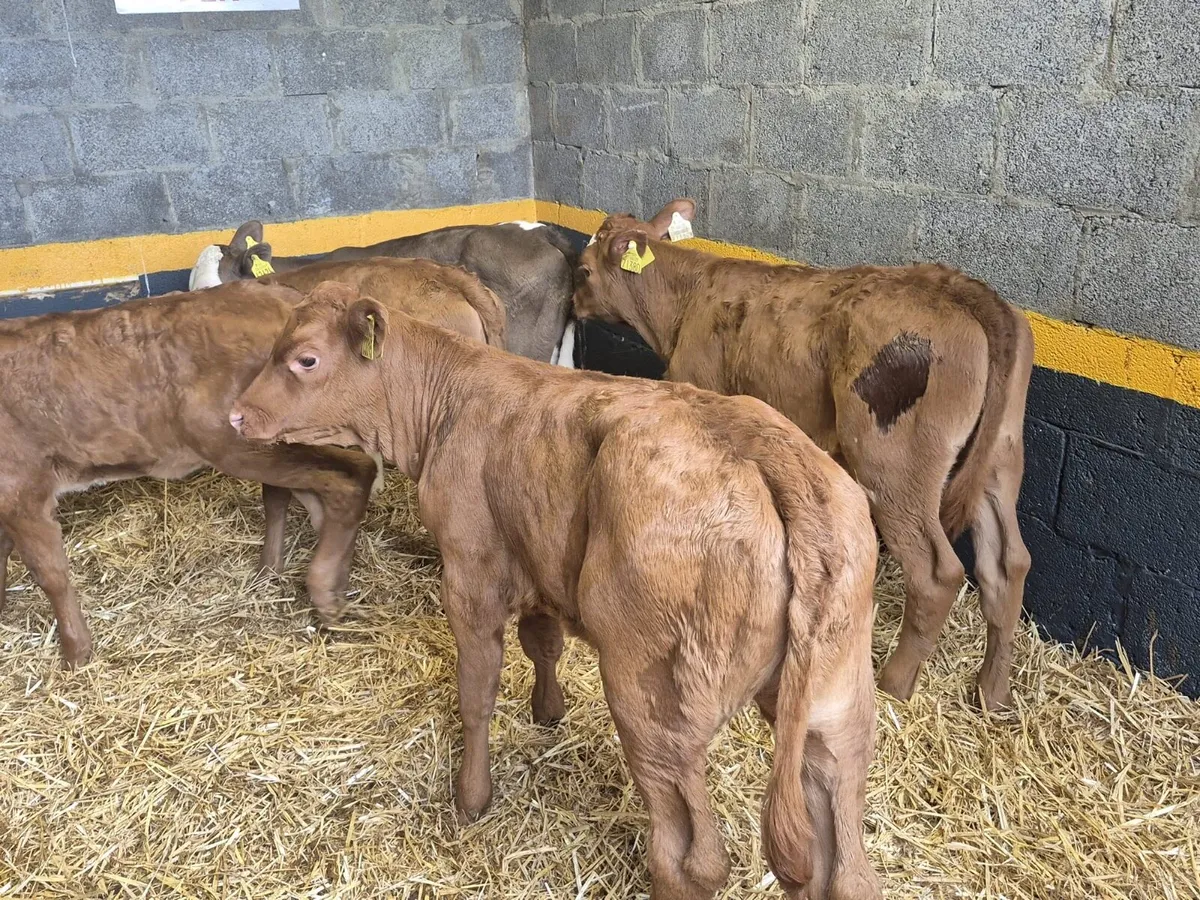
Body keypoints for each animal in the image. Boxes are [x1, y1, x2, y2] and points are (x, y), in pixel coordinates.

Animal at [0, 267, 508, 667]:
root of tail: (277, 296)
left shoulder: (22, 488)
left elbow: (50, 573)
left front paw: (75, 653)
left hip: (234, 442)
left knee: (350, 475)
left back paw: (322, 589)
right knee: (321, 491)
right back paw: (318, 582)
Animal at [230, 281, 883, 900]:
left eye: (306, 358)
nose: (235, 416)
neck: (448, 403)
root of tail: (766, 448)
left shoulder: (470, 574)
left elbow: (476, 692)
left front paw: (471, 796)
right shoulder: (538, 563)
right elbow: (543, 643)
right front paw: (548, 711)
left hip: (655, 700)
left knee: (693, 858)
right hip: (836, 707)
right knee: (846, 863)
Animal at [573, 199, 1035, 711]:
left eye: (583, 270)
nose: (571, 302)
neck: (685, 300)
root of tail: (955, 286)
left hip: (893, 465)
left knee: (938, 574)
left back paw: (894, 684)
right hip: (1000, 461)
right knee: (1008, 564)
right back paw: (993, 692)